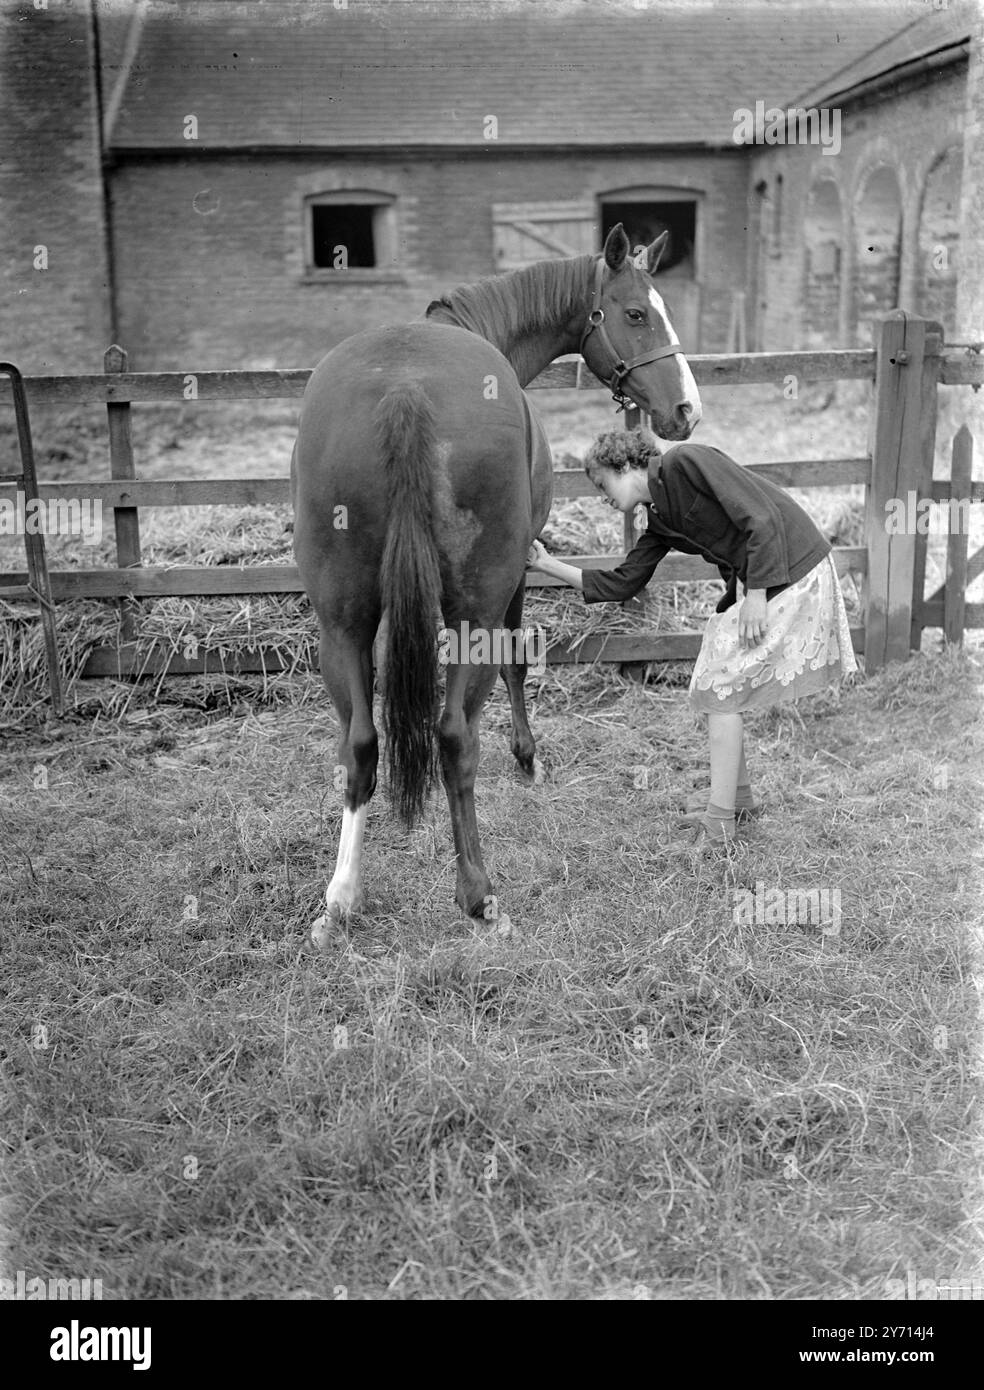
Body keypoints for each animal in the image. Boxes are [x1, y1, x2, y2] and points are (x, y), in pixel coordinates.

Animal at [291, 223, 701, 948]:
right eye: (635, 313)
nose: (686, 409)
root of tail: (405, 391)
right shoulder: (509, 586)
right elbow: (515, 665)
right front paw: (527, 757)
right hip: (472, 607)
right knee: (455, 734)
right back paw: (478, 894)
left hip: (341, 621)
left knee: (361, 746)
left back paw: (341, 897)